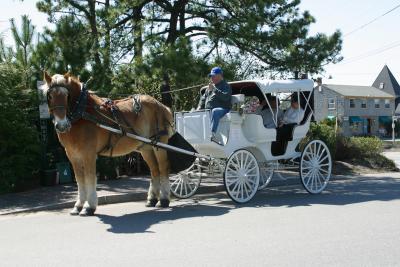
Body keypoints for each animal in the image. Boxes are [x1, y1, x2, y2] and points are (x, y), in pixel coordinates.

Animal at [43, 72, 173, 217]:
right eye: (50, 96)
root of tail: (161, 105)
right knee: (154, 170)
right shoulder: (72, 155)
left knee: (163, 168)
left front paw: (88, 207)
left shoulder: (88, 154)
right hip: (146, 148)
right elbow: (79, 180)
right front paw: (78, 206)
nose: (62, 125)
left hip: (159, 144)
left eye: (67, 95)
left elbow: (89, 178)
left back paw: (164, 199)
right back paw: (152, 199)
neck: (82, 112)